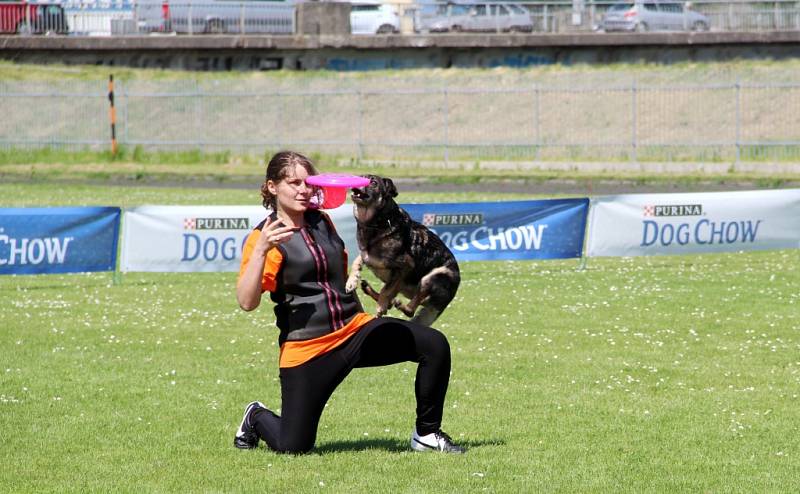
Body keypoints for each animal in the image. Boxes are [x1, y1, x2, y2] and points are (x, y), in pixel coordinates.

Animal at [346, 176, 462, 326]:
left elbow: (385, 291)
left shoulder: (405, 266)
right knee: (401, 302)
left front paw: (380, 307)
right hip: (407, 286)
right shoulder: (366, 255)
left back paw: (398, 304)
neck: (377, 223)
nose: (355, 182)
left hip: (431, 277)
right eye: (361, 177)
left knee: (411, 309)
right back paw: (370, 290)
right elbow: (357, 261)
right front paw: (351, 281)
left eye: (373, 182)